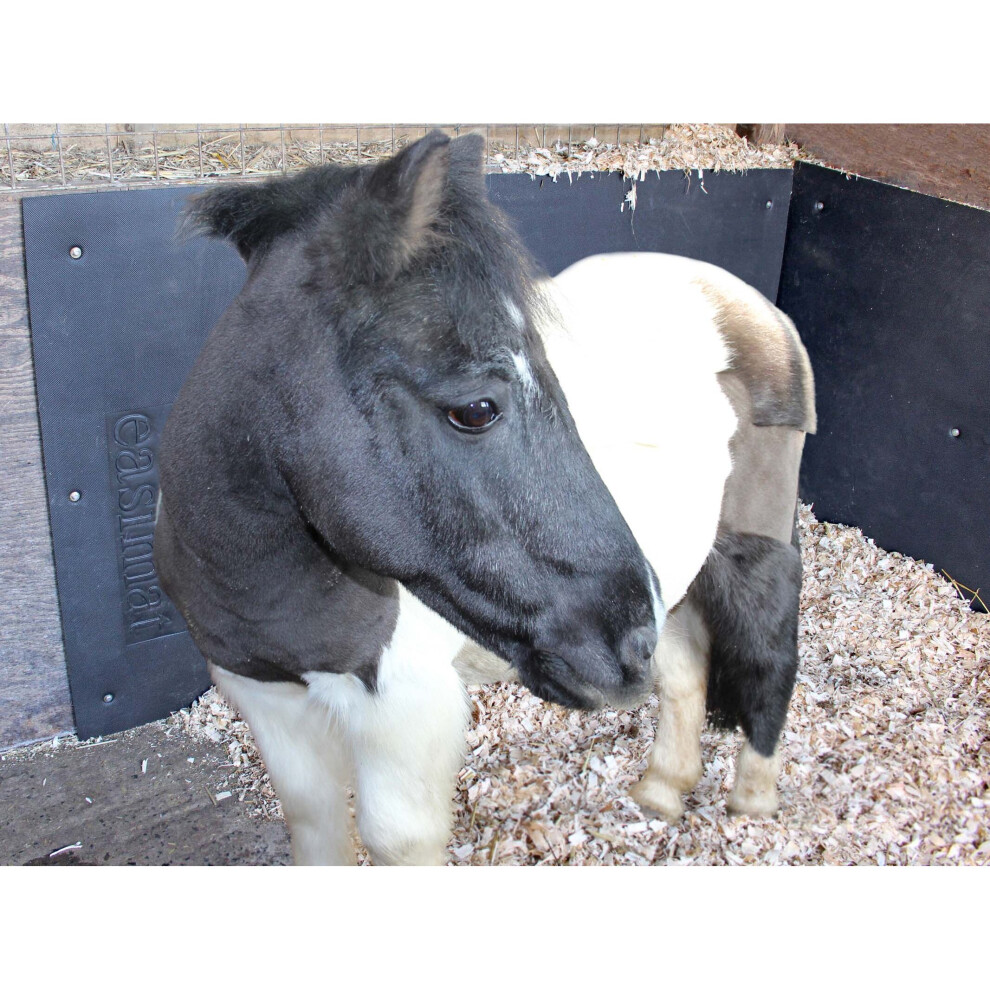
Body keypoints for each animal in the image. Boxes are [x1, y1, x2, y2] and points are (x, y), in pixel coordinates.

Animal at [159, 128, 816, 864]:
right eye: (476, 409)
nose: (622, 644)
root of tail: (751, 305)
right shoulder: (265, 698)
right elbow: (313, 820)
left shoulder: (406, 710)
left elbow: (393, 837)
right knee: (684, 667)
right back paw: (662, 790)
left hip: (753, 543)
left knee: (770, 656)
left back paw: (754, 798)